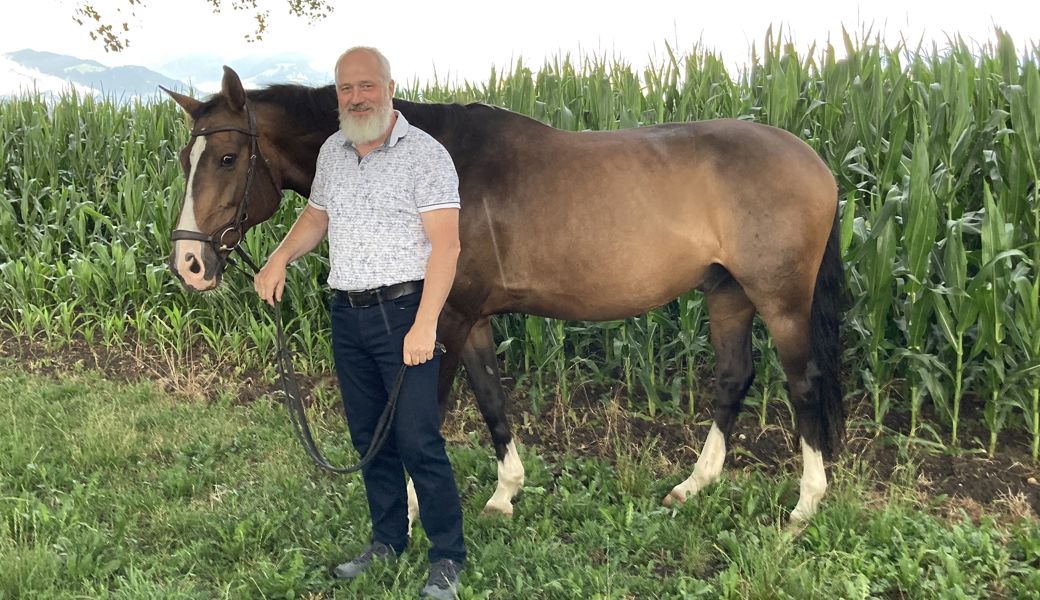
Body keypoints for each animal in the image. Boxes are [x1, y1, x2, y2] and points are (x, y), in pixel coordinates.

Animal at [162, 65, 844, 522]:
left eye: (227, 157)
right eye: (184, 160)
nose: (189, 263)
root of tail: (816, 161)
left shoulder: (440, 321)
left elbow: (426, 414)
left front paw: (415, 510)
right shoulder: (472, 318)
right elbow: (491, 397)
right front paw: (504, 493)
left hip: (780, 301)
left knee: (803, 382)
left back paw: (806, 506)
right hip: (727, 294)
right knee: (733, 377)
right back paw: (693, 485)